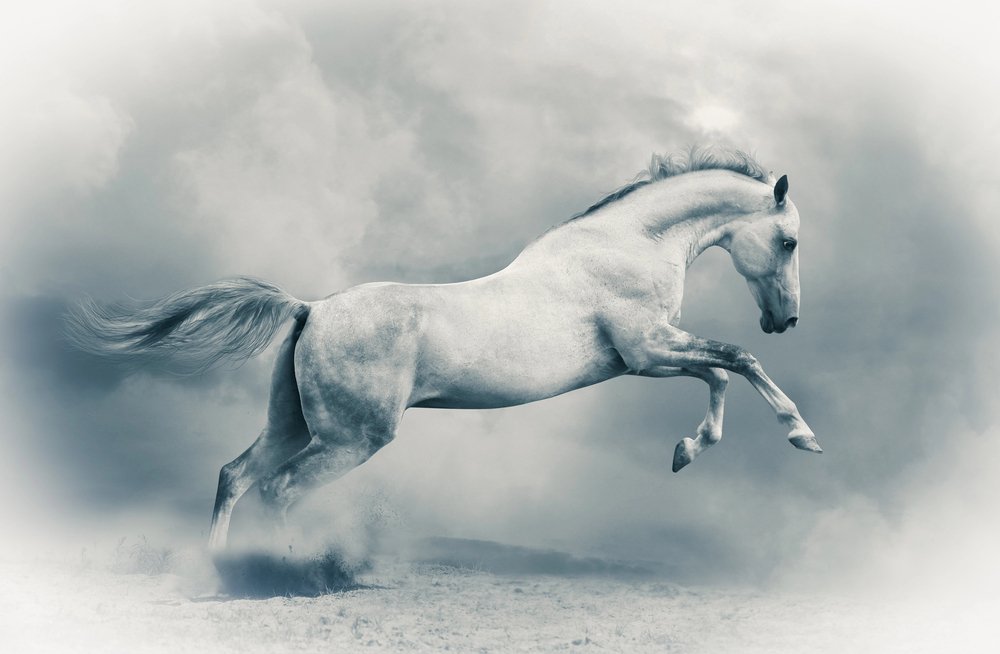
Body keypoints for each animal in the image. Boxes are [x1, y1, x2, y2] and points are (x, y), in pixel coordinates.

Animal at [66, 147, 820, 551]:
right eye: (788, 242)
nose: (786, 320)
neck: (626, 245)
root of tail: (311, 309)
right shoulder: (646, 351)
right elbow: (736, 362)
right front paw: (801, 435)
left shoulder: (654, 355)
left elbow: (722, 375)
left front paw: (686, 451)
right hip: (351, 438)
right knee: (278, 490)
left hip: (294, 424)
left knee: (235, 476)